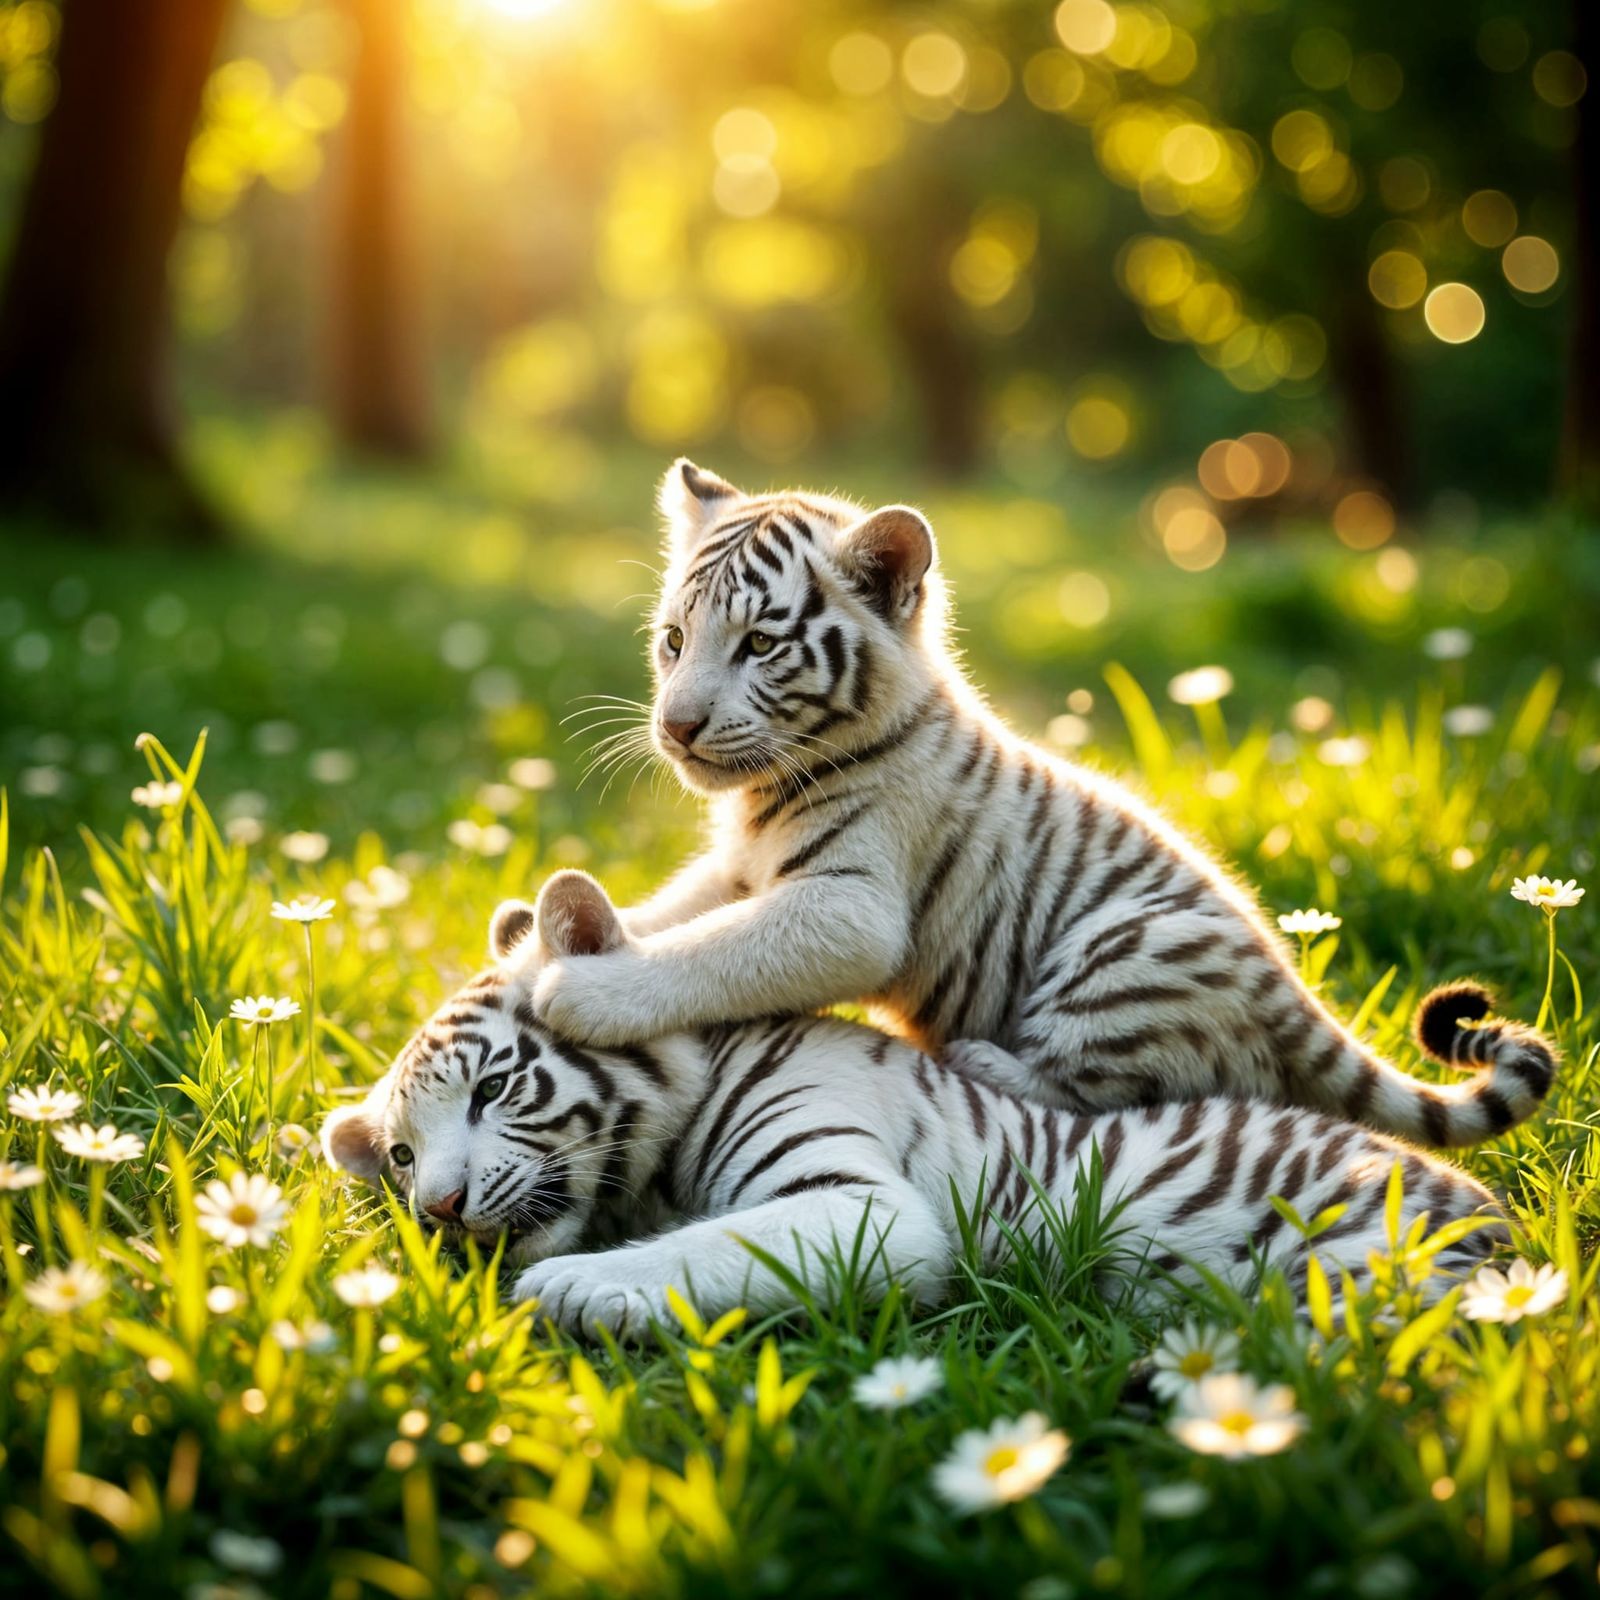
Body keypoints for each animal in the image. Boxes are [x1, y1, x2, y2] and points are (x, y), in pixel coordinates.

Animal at [321, 869, 1506, 1338]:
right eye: (401, 1154)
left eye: (492, 1087)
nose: (439, 1208)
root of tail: (1502, 1223)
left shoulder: (860, 1204)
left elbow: (706, 1248)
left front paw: (567, 1287)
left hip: (1363, 1275)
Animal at [528, 459, 1558, 1149]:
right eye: (673, 639)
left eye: (759, 646)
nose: (677, 726)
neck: (769, 790)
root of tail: (1292, 998)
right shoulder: (741, 868)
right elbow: (674, 913)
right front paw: (537, 942)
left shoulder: (845, 906)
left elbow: (713, 951)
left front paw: (581, 992)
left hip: (1127, 951)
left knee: (1121, 1086)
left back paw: (982, 1060)